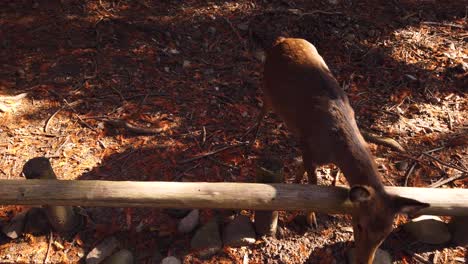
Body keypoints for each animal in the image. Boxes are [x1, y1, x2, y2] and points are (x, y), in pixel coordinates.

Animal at [258, 37, 430, 264]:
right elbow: (313, 182)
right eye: (359, 225)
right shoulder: (309, 145)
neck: (334, 146)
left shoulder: (306, 144)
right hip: (268, 88)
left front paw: (298, 183)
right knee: (262, 109)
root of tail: (282, 39)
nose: (364, 261)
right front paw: (310, 218)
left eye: (386, 234)